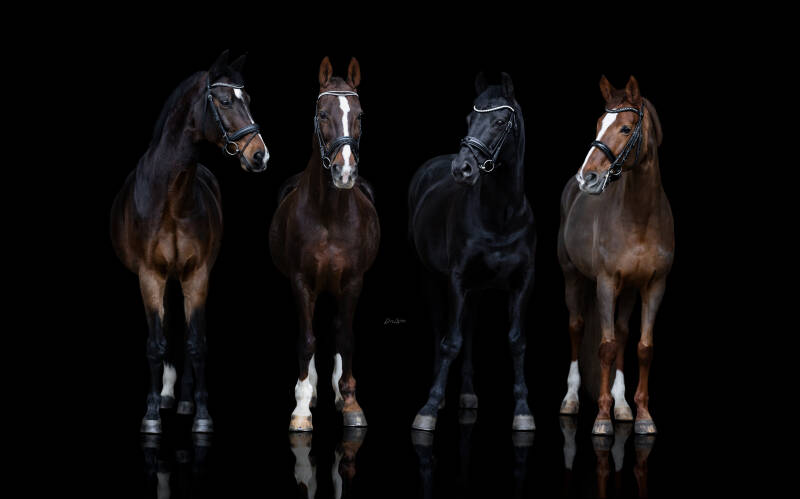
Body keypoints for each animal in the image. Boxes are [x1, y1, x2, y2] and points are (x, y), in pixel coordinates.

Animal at [110, 50, 269, 434]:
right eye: (225, 101)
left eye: (248, 100)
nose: (260, 155)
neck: (171, 197)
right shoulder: (149, 276)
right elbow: (155, 344)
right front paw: (151, 415)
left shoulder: (197, 276)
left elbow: (196, 343)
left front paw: (201, 414)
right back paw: (165, 396)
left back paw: (179, 399)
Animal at [269, 57, 379, 432]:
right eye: (322, 115)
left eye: (360, 115)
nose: (344, 172)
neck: (330, 216)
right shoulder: (302, 281)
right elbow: (306, 340)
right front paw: (302, 408)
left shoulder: (353, 281)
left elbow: (345, 338)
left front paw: (351, 403)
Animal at [408, 72, 537, 432]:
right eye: (469, 118)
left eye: (500, 121)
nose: (462, 168)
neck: (501, 217)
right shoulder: (456, 280)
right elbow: (449, 341)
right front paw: (428, 407)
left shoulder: (523, 282)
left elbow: (517, 342)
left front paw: (523, 409)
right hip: (432, 279)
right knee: (442, 329)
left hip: (476, 290)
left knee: (468, 331)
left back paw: (467, 394)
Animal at [557, 75, 673, 436]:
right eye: (598, 123)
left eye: (625, 128)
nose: (588, 177)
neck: (640, 217)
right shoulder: (606, 284)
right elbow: (605, 348)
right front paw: (602, 419)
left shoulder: (654, 286)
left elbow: (643, 348)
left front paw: (642, 416)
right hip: (574, 277)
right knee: (576, 327)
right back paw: (571, 400)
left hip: (629, 291)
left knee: (622, 334)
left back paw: (623, 406)